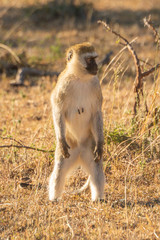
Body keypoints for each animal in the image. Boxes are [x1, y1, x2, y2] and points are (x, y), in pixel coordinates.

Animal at [48, 42, 105, 202]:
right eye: (90, 59)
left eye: (94, 58)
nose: (97, 66)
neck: (80, 78)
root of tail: (79, 151)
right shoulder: (63, 84)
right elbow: (58, 109)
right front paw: (61, 140)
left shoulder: (96, 84)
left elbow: (97, 113)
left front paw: (100, 145)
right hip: (70, 148)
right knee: (59, 170)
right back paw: (54, 199)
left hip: (89, 147)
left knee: (96, 169)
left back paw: (98, 199)